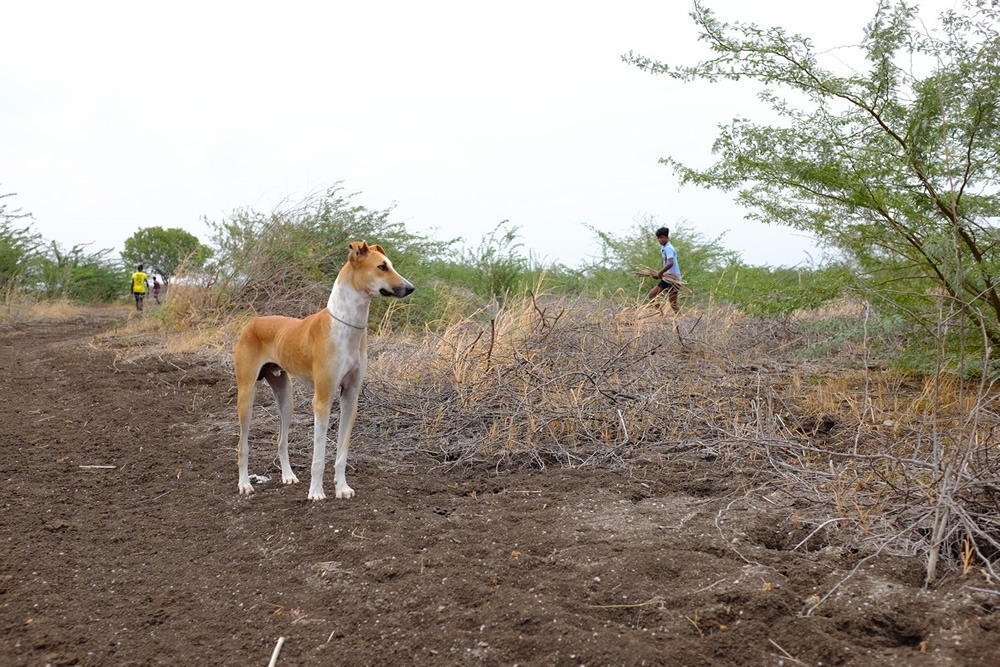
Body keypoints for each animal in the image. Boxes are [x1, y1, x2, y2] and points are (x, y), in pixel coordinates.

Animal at [234, 243, 414, 498]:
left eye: (391, 265)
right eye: (382, 267)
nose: (410, 288)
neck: (345, 326)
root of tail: (254, 321)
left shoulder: (350, 397)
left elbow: (341, 452)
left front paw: (342, 488)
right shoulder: (322, 400)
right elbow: (318, 456)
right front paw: (316, 492)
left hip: (285, 398)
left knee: (281, 441)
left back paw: (288, 476)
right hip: (246, 396)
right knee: (243, 445)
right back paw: (244, 483)